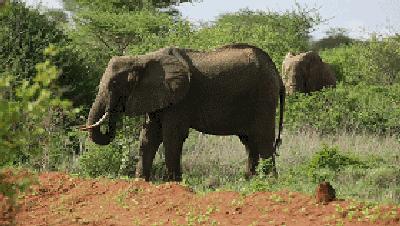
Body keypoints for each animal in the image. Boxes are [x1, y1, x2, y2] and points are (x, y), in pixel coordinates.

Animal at [81, 43, 284, 182]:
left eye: (114, 84)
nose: (112, 110)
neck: (142, 59)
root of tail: (276, 72)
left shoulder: (180, 99)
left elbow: (171, 135)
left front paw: (173, 183)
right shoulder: (159, 95)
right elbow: (148, 136)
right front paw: (140, 182)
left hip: (264, 96)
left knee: (263, 138)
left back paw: (269, 182)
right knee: (249, 141)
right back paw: (249, 180)